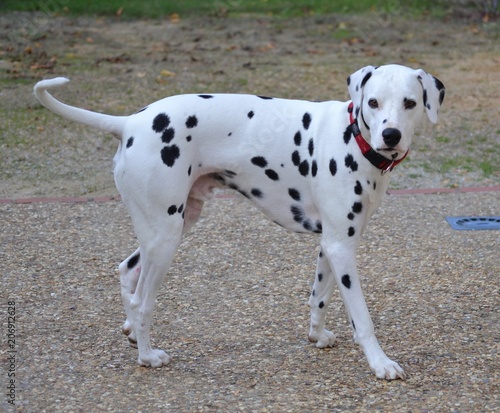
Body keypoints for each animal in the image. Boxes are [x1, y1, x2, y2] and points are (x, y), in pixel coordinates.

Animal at [33, 65, 444, 380]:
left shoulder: (332, 244)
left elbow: (319, 296)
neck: (353, 138)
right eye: (373, 102)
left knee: (126, 269)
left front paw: (317, 335)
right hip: (165, 239)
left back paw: (133, 334)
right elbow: (362, 318)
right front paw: (380, 363)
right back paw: (147, 355)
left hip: (169, 228)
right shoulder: (342, 249)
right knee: (141, 300)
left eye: (409, 102)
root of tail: (130, 122)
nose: (390, 134)